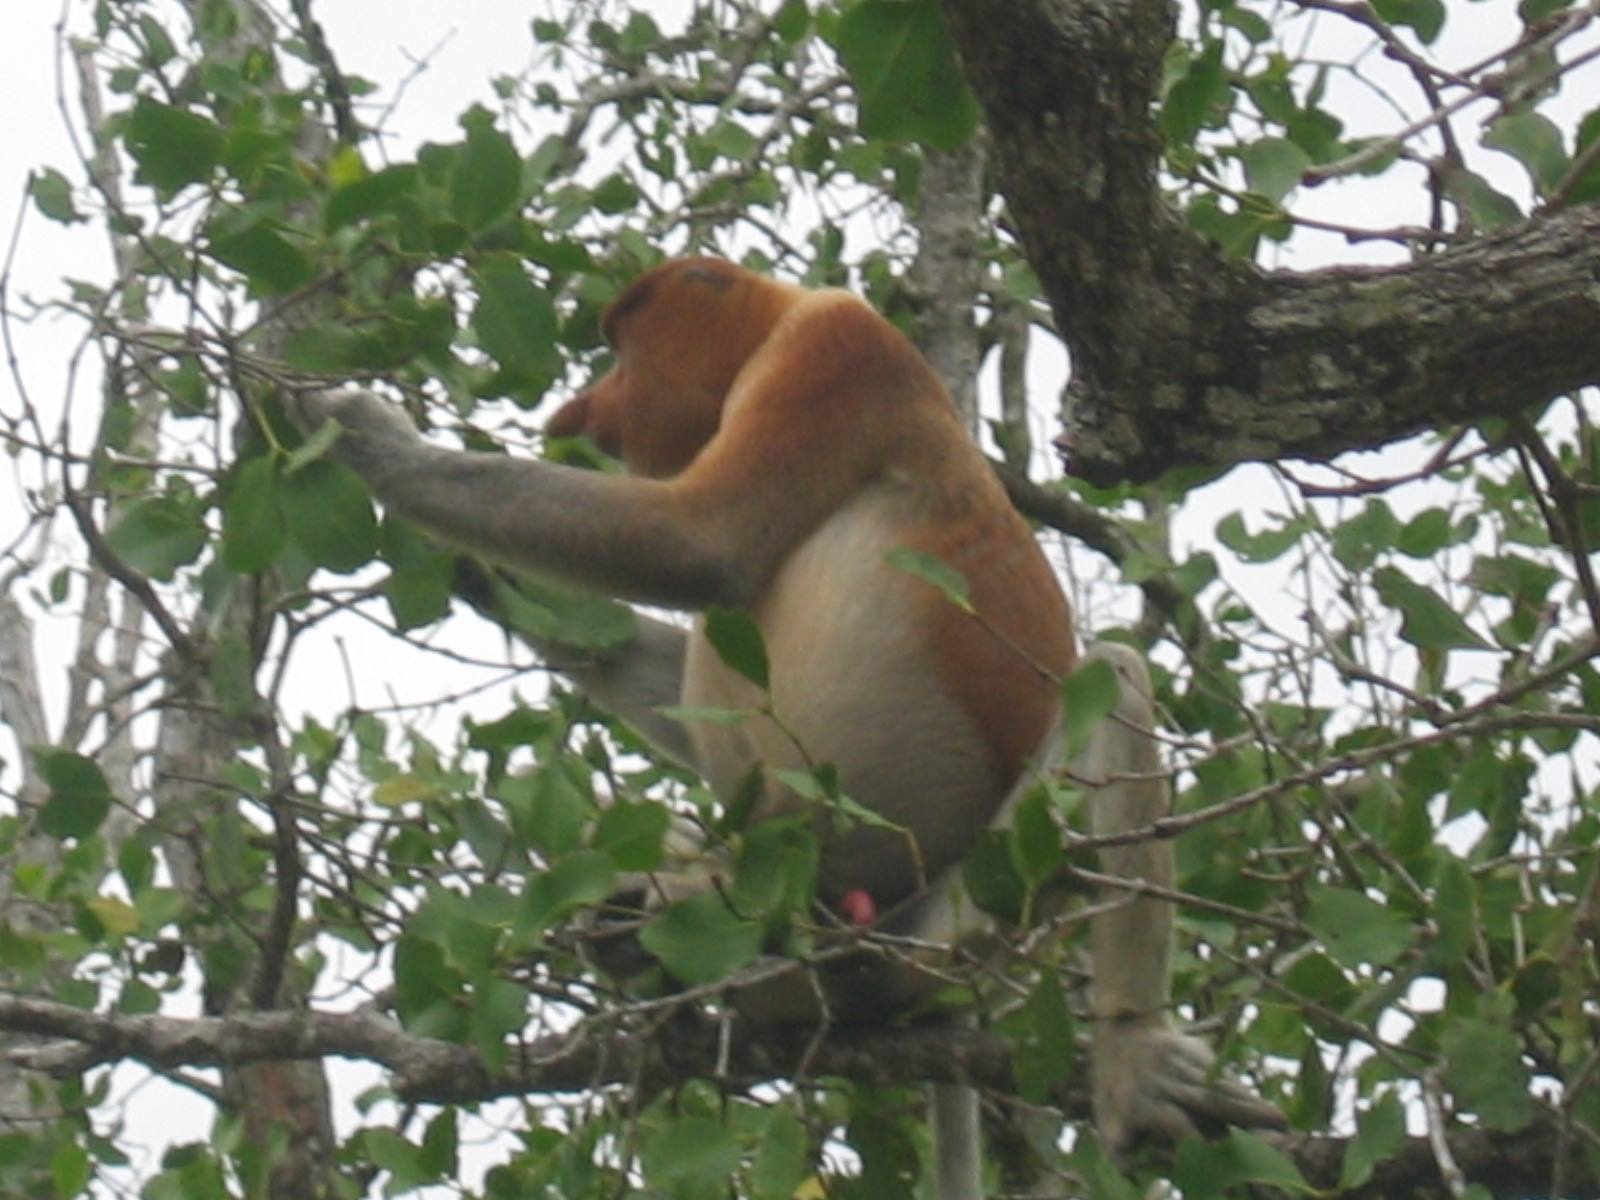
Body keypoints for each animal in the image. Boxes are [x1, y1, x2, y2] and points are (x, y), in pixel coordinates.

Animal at [290, 257, 1280, 1191]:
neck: (773, 324)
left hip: (962, 916)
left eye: (620, 347)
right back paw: (639, 928)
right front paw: (474, 572)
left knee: (1114, 676)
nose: (581, 407)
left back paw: (1132, 1059)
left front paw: (365, 436)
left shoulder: (833, 353)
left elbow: (699, 544)